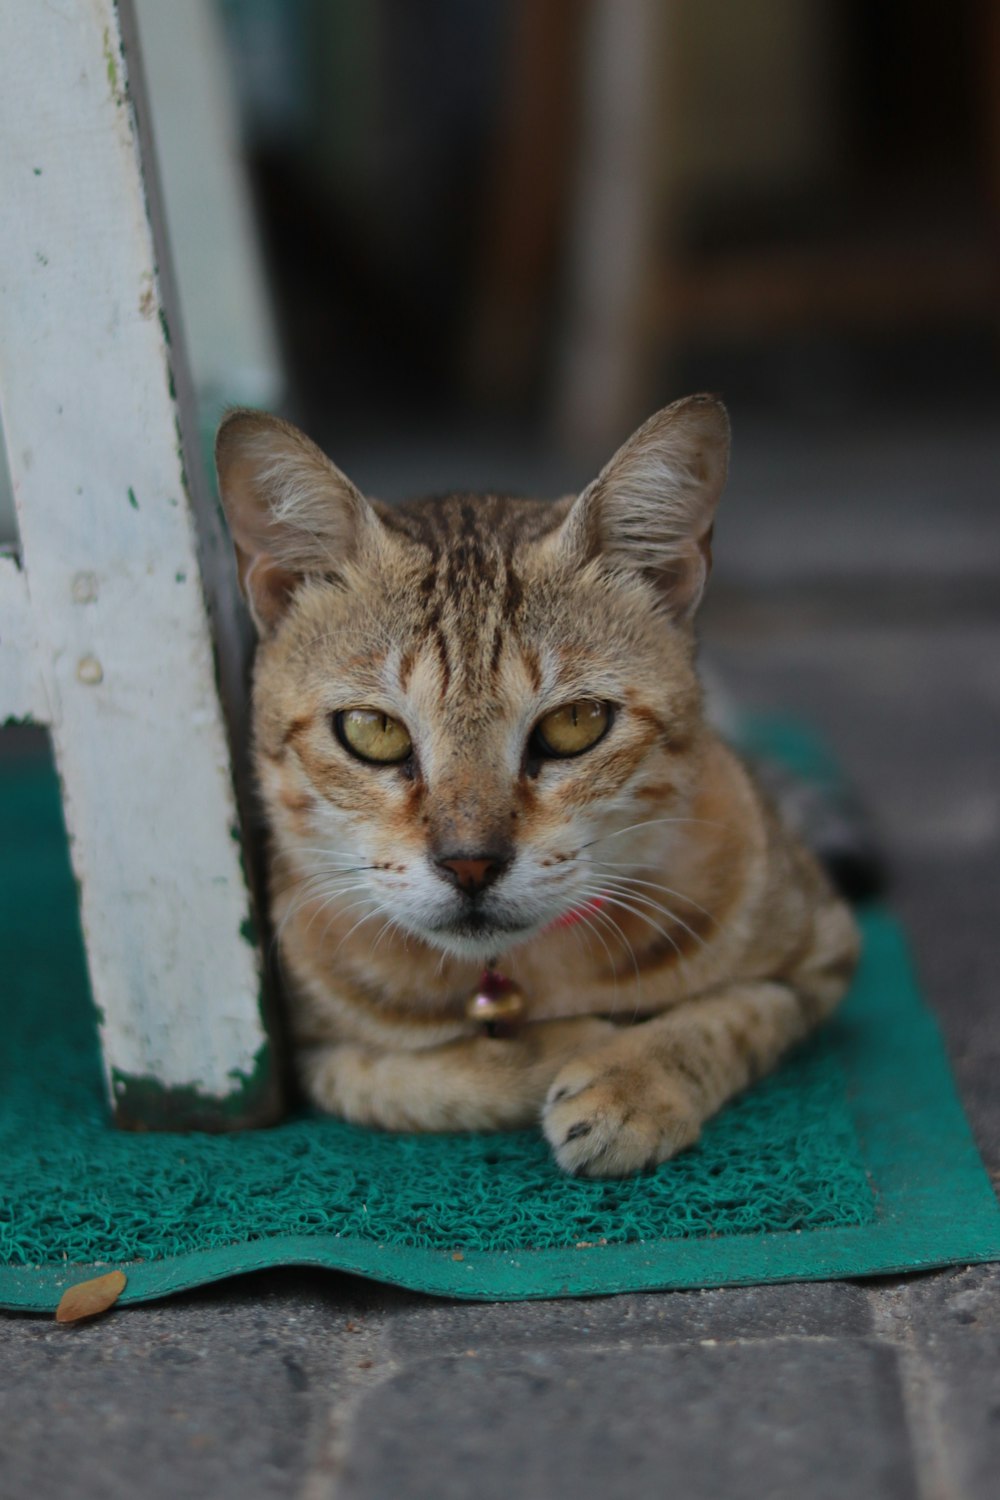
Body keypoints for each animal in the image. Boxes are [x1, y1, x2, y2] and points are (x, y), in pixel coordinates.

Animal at [215, 396, 857, 1170]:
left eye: (575, 722)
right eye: (372, 730)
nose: (470, 864)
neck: (510, 981)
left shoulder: (822, 956)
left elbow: (732, 1016)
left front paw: (634, 1082)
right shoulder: (309, 1056)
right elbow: (416, 1078)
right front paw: (564, 1047)